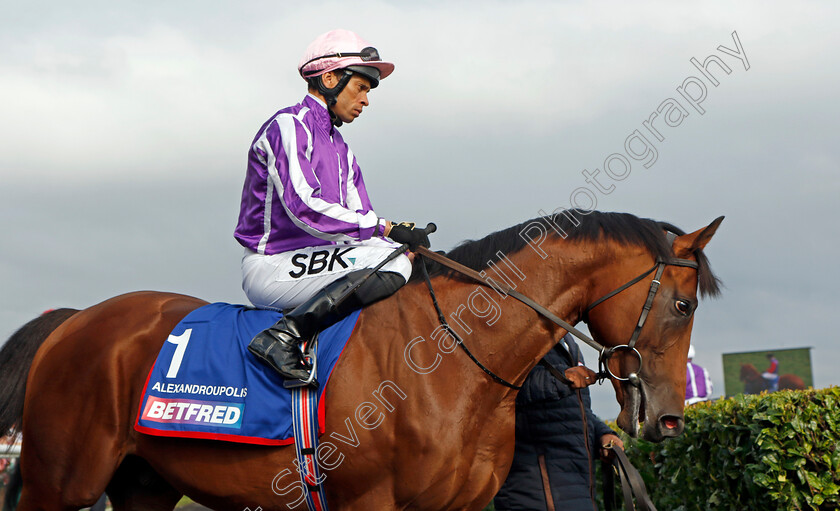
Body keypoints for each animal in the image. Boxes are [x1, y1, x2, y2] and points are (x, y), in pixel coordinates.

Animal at [0, 210, 720, 510]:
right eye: (684, 304)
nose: (669, 419)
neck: (450, 363)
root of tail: (74, 320)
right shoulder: (371, 503)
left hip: (143, 483)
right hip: (60, 484)